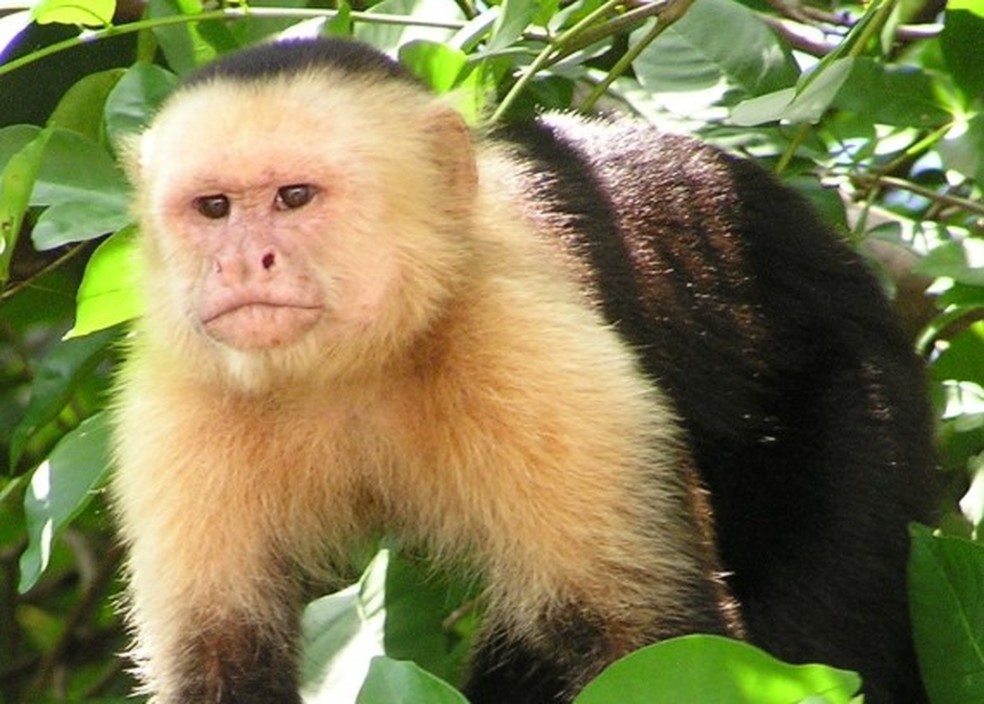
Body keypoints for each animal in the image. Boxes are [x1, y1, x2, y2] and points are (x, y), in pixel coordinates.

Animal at [109, 37, 935, 704]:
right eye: (213, 208)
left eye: (294, 197)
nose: (242, 262)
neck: (354, 368)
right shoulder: (177, 404)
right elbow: (219, 659)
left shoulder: (531, 352)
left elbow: (650, 640)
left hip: (856, 386)